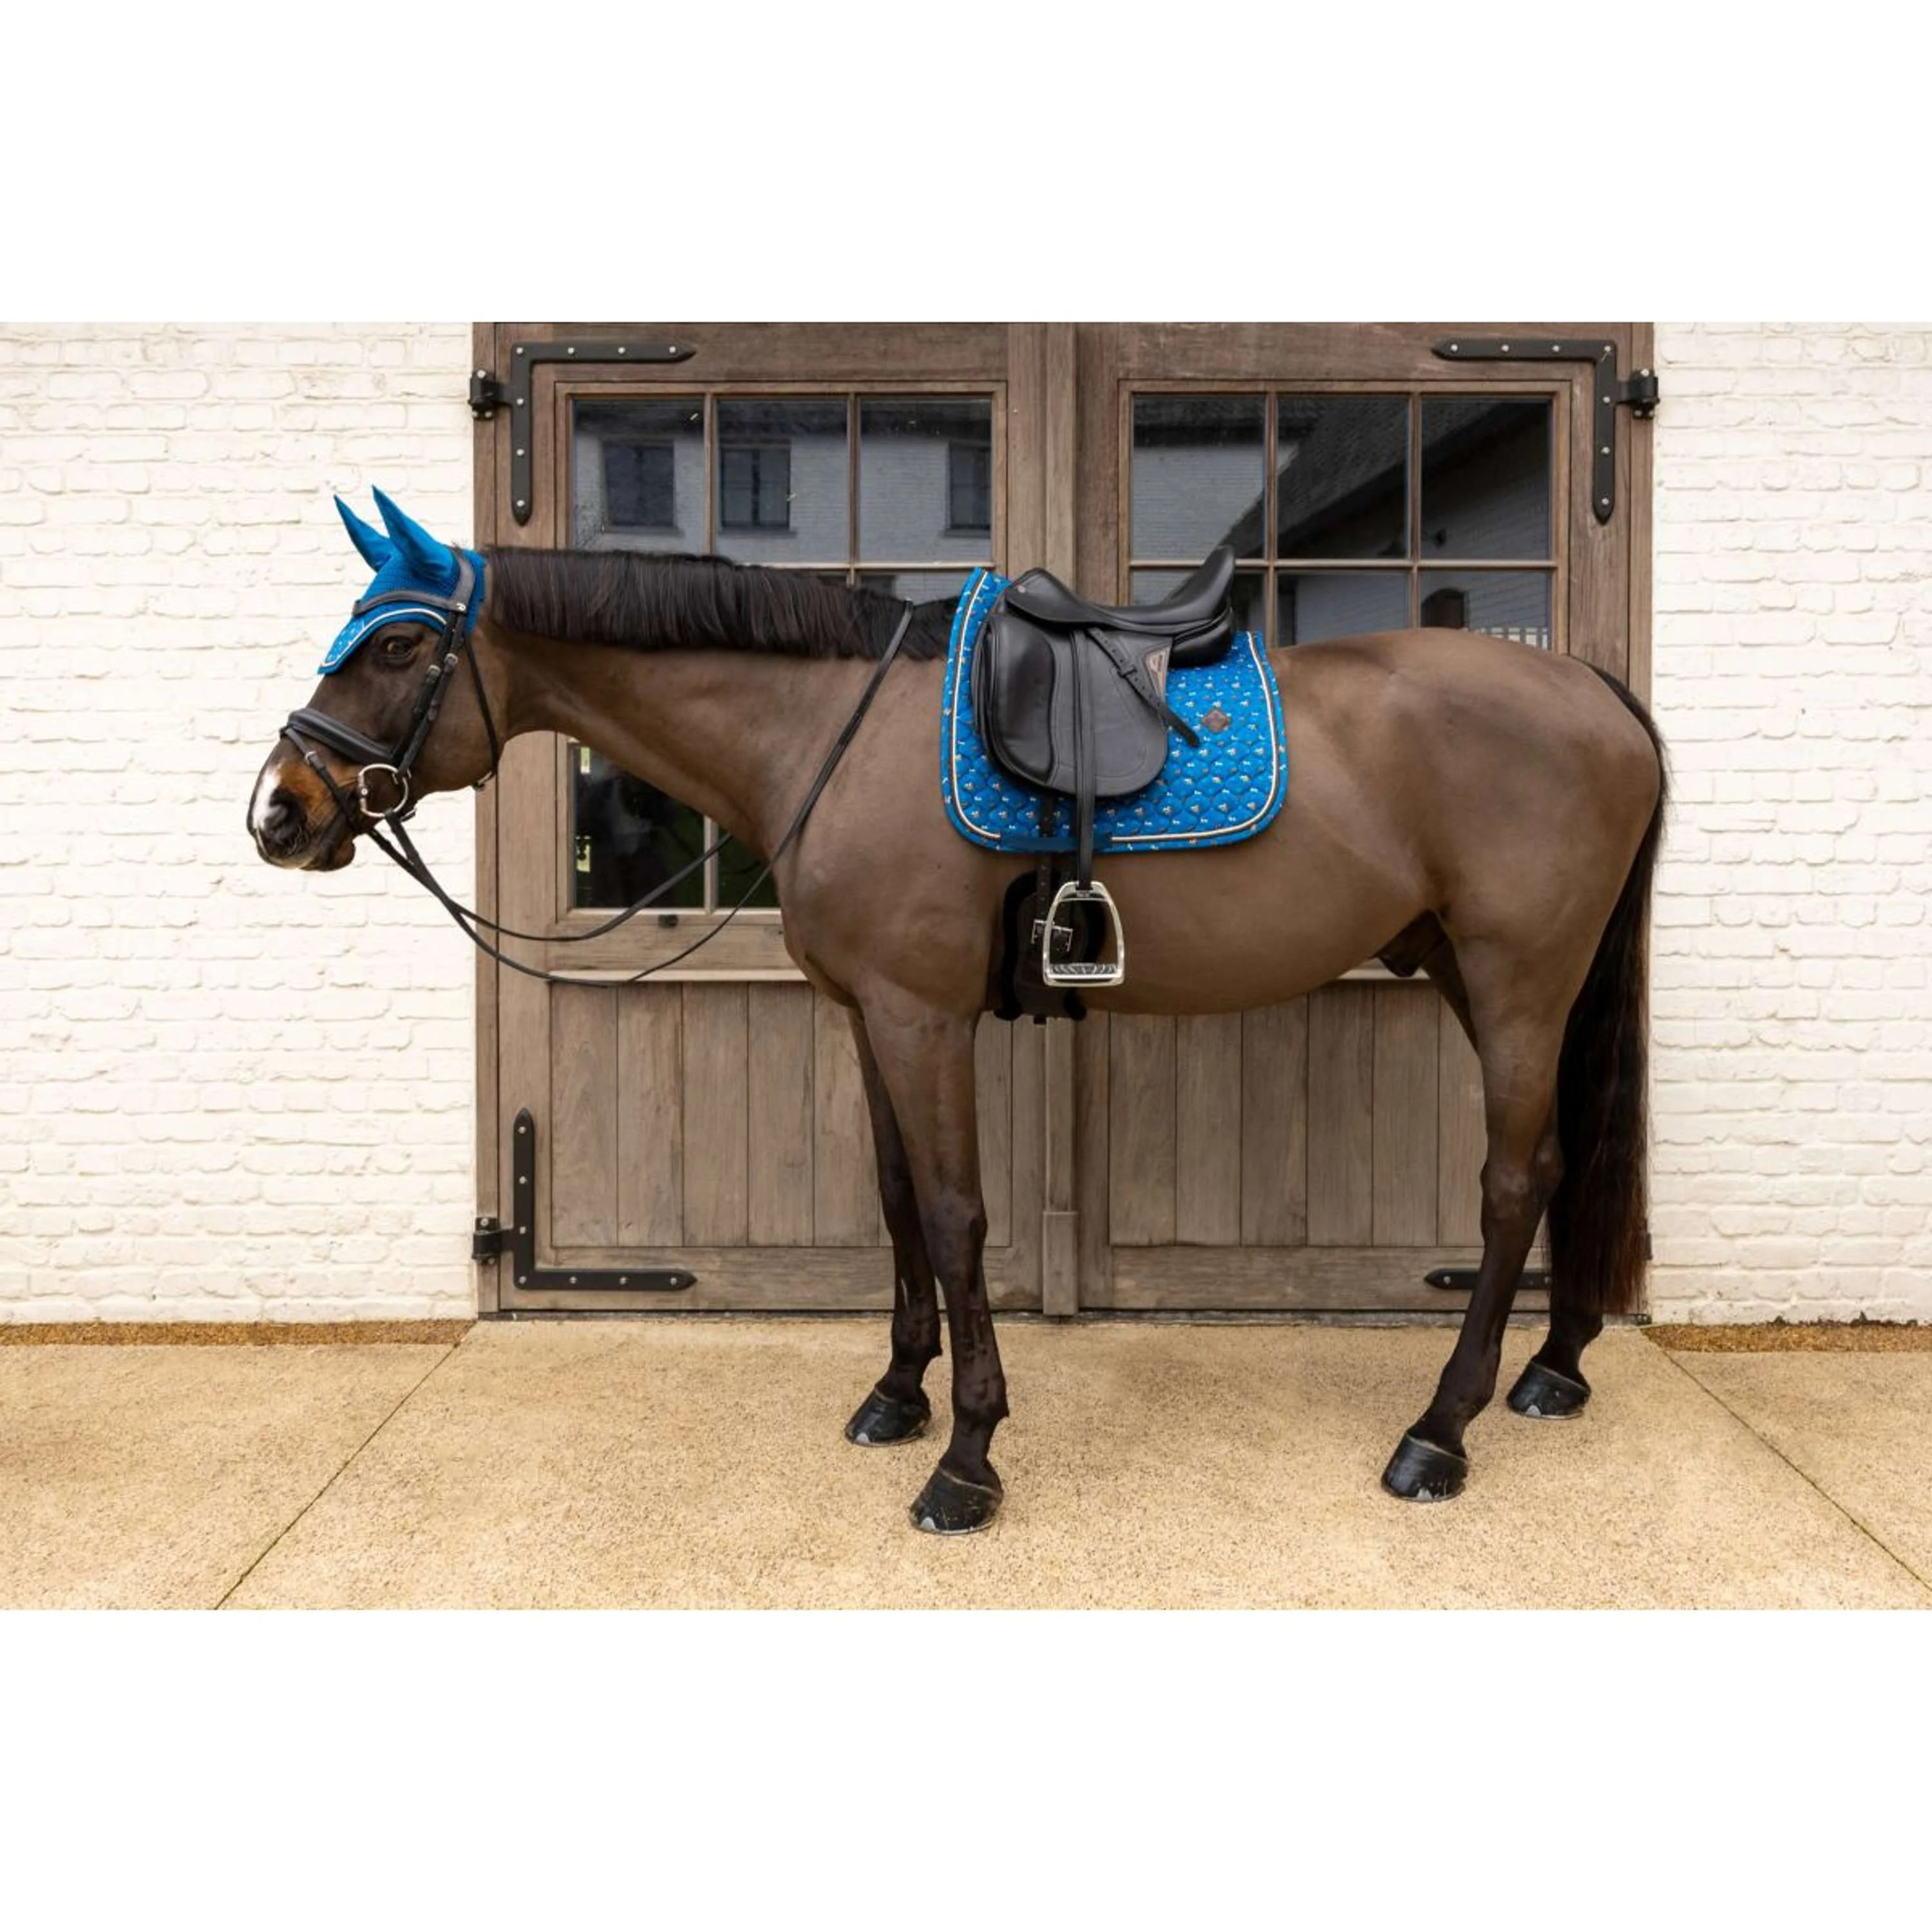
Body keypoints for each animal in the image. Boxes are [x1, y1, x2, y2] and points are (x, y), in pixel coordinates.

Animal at [248, 491, 1666, 1534]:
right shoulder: (867, 1015)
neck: (826, 729)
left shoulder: (922, 1017)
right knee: (1566, 1161)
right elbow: (893, 1203)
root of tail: (1597, 691)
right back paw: (1555, 1367)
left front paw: (969, 1459)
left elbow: (952, 1212)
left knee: (1513, 1181)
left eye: (396, 645)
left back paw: (1438, 1433)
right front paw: (897, 1397)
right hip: (1491, 974)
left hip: (1518, 980)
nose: (280, 810)